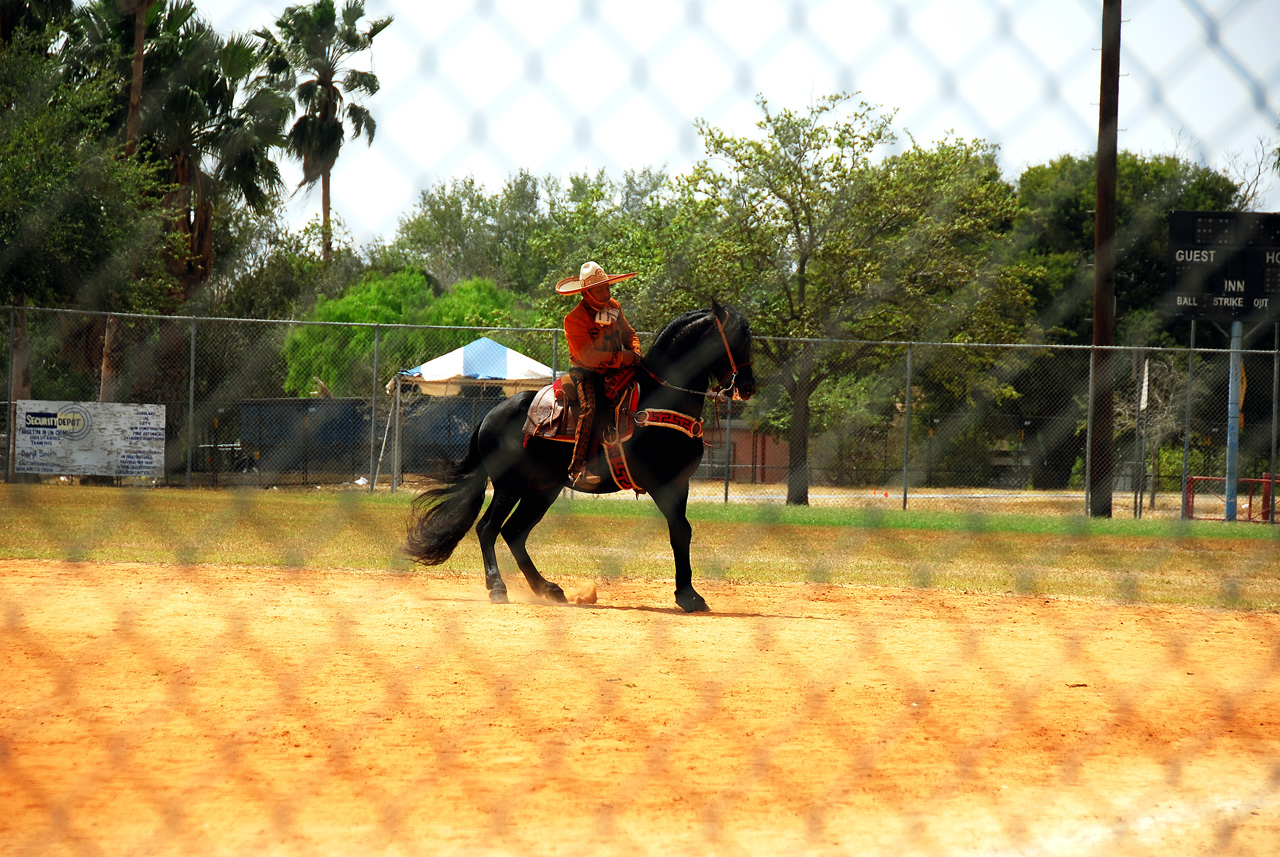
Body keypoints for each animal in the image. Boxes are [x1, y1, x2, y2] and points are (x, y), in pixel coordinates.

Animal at [404, 301, 752, 611]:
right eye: (735, 340)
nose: (747, 387)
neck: (660, 399)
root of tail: (492, 414)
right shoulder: (661, 483)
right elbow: (679, 530)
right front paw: (689, 597)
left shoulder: (680, 484)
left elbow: (683, 532)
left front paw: (688, 594)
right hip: (509, 485)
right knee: (488, 528)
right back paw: (498, 588)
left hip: (542, 489)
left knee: (513, 532)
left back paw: (547, 588)